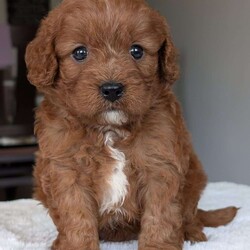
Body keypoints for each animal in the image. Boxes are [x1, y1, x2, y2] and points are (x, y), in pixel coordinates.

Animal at [24, 0, 236, 250]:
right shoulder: (66, 169)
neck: (110, 130)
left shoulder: (160, 165)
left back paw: (193, 233)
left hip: (195, 177)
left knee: (190, 214)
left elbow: (161, 215)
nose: (112, 89)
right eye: (79, 53)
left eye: (137, 51)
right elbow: (76, 216)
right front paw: (77, 245)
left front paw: (158, 245)